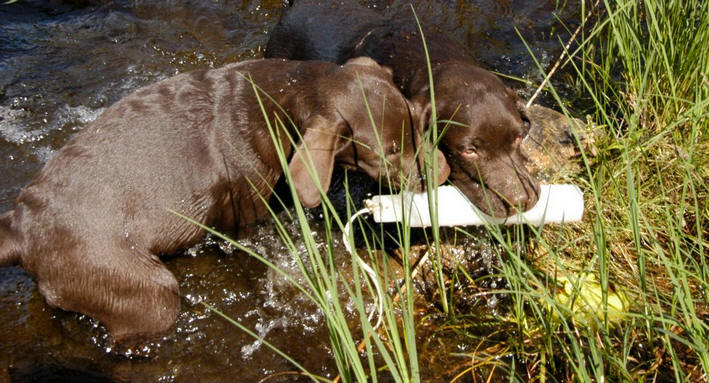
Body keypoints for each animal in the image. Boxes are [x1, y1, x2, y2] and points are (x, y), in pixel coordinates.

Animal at [0, 57, 448, 342]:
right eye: (389, 151)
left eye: (417, 126)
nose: (441, 174)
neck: (280, 99)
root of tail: (20, 226)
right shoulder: (246, 212)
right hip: (139, 287)